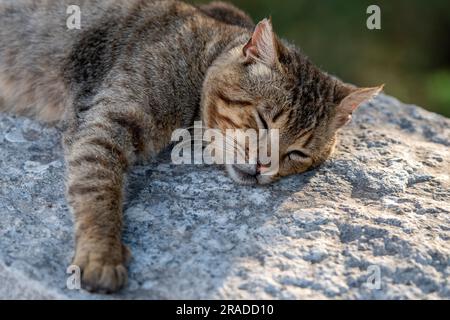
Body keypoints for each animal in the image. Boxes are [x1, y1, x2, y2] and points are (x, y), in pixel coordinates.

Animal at [0, 0, 384, 292]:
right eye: (262, 120)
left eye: (298, 153)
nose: (264, 166)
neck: (206, 54)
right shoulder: (107, 122)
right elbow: (98, 190)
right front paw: (102, 253)